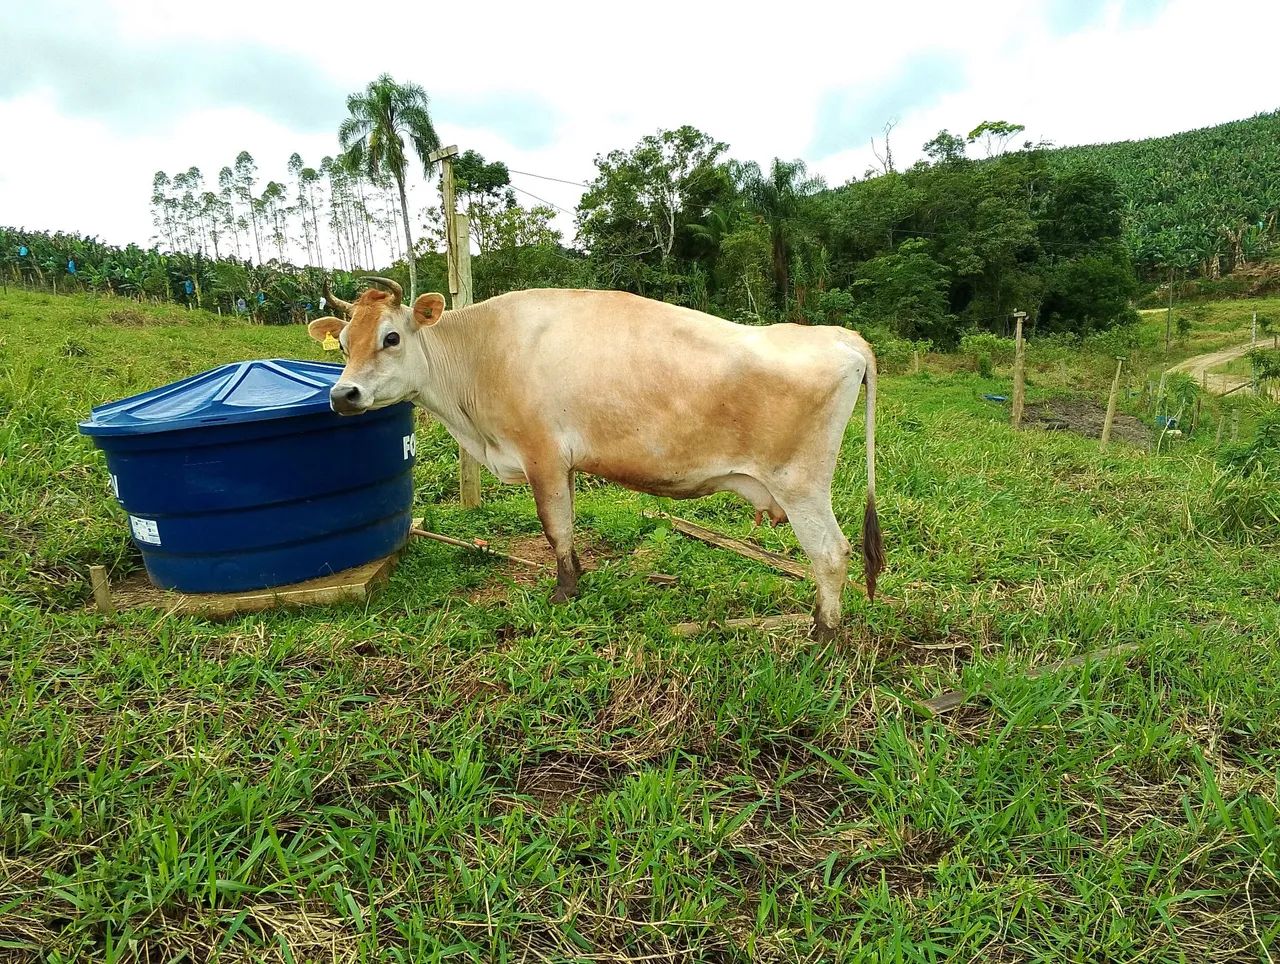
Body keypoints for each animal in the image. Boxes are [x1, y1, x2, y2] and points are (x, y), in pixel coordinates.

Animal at [308, 277, 882, 638]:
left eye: (391, 337)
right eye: (343, 343)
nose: (343, 395)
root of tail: (843, 337)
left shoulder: (540, 454)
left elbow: (555, 526)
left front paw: (564, 591)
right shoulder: (563, 463)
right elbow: (568, 523)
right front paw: (579, 575)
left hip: (801, 485)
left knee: (832, 554)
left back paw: (824, 634)